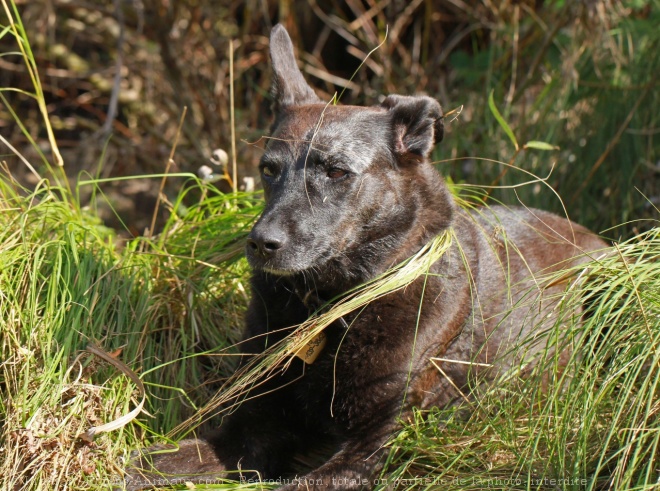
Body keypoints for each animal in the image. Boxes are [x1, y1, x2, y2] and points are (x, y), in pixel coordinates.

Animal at [125, 24, 608, 491]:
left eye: (337, 171)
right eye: (268, 170)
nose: (262, 243)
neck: (330, 306)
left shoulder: (374, 444)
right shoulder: (250, 429)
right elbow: (145, 463)